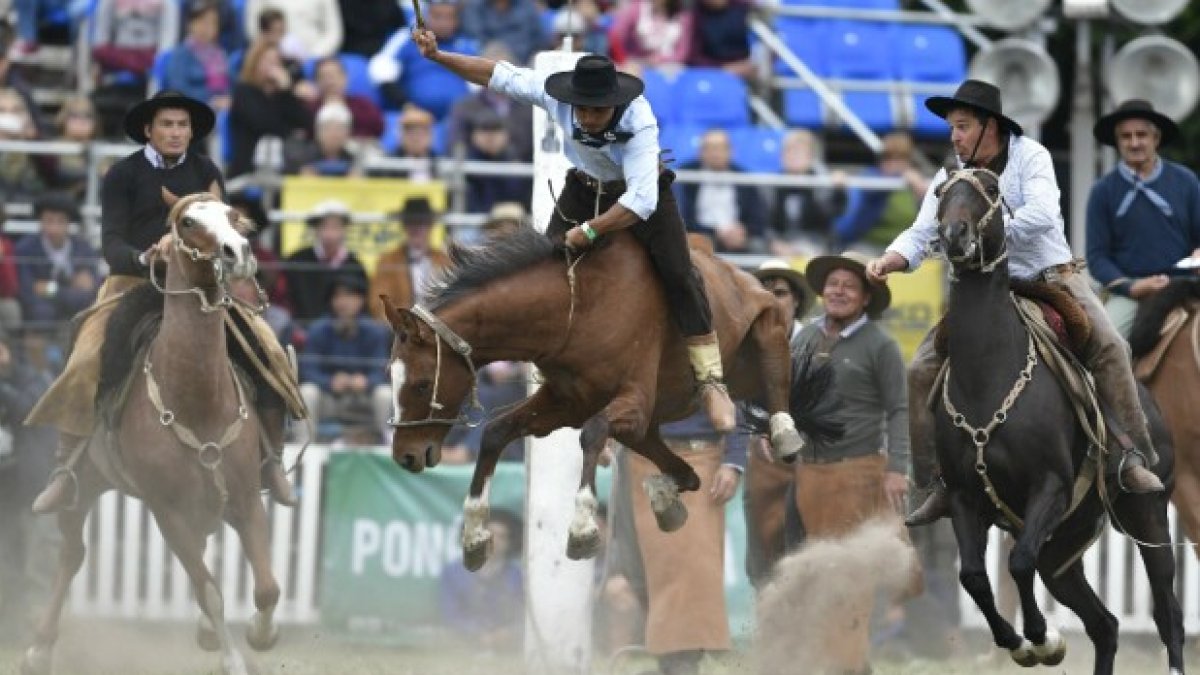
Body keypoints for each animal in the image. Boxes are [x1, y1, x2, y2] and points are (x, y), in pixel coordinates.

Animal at [21, 193, 281, 675]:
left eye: (233, 216)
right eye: (188, 221)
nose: (238, 253)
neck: (198, 399)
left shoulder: (246, 495)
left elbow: (267, 587)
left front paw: (261, 633)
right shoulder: (167, 511)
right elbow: (210, 590)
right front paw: (233, 658)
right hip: (85, 484)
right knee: (72, 553)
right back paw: (40, 648)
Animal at [379, 226, 841, 570]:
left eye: (420, 383)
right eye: (391, 376)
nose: (405, 455)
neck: (578, 305)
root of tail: (743, 276)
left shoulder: (630, 402)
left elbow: (593, 431)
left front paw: (582, 527)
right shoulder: (565, 403)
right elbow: (495, 432)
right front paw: (474, 536)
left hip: (768, 329)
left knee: (776, 386)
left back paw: (783, 434)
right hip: (649, 425)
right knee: (683, 471)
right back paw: (665, 495)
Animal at [935, 167, 1183, 675]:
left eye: (992, 191)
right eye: (940, 193)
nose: (954, 234)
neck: (989, 376)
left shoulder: (1049, 486)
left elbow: (1017, 562)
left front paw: (1039, 639)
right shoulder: (964, 497)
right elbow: (973, 575)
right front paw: (1016, 640)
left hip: (1149, 515)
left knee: (1168, 614)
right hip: (1064, 548)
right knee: (1105, 624)